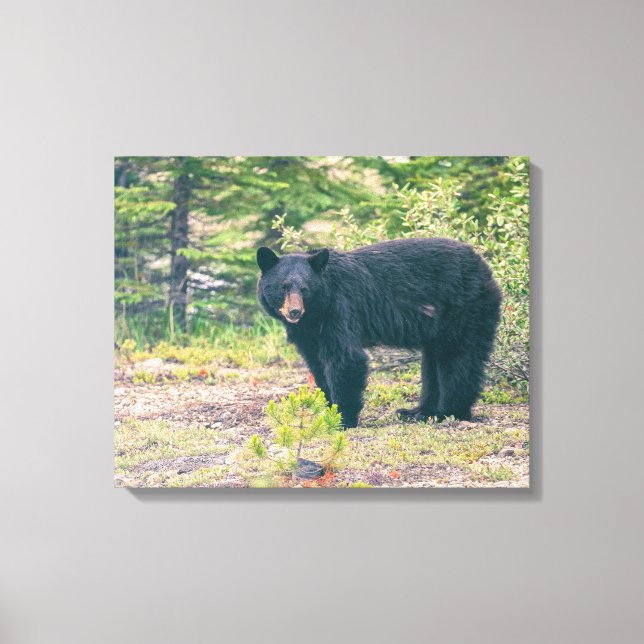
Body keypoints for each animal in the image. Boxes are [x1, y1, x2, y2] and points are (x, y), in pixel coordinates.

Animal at [256, 238, 502, 428]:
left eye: (304, 289)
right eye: (282, 287)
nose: (294, 311)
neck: (315, 313)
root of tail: (484, 266)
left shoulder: (339, 311)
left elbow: (346, 358)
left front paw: (344, 418)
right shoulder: (308, 333)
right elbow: (317, 365)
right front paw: (329, 408)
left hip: (463, 309)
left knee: (458, 358)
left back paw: (448, 412)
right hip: (438, 325)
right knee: (432, 362)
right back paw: (418, 411)